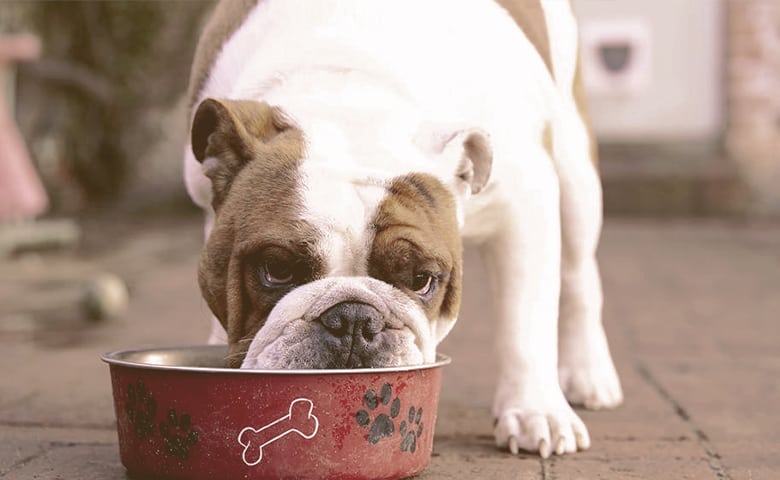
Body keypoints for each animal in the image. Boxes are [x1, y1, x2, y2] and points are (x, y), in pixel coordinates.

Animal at [183, 0, 620, 458]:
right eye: (277, 270)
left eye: (422, 279)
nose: (353, 318)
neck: (353, 98)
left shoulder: (525, 202)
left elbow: (526, 322)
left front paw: (536, 411)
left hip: (575, 172)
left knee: (578, 275)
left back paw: (589, 374)